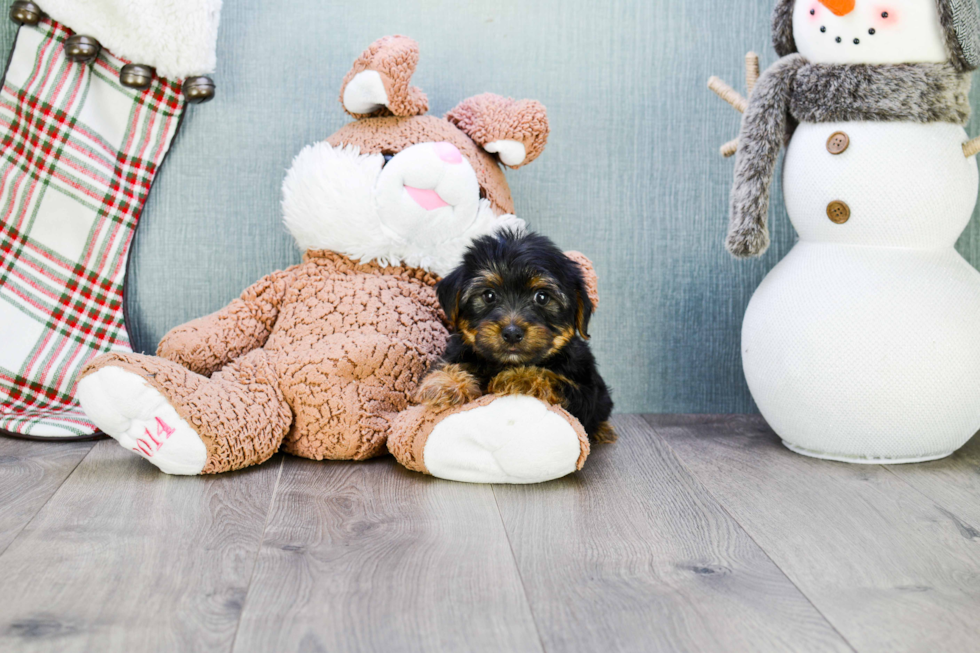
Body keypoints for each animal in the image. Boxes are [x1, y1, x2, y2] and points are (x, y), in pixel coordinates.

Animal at [412, 229, 612, 444]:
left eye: (542, 297)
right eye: (489, 295)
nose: (512, 333)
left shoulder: (583, 391)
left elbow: (551, 377)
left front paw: (518, 376)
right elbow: (449, 364)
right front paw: (445, 384)